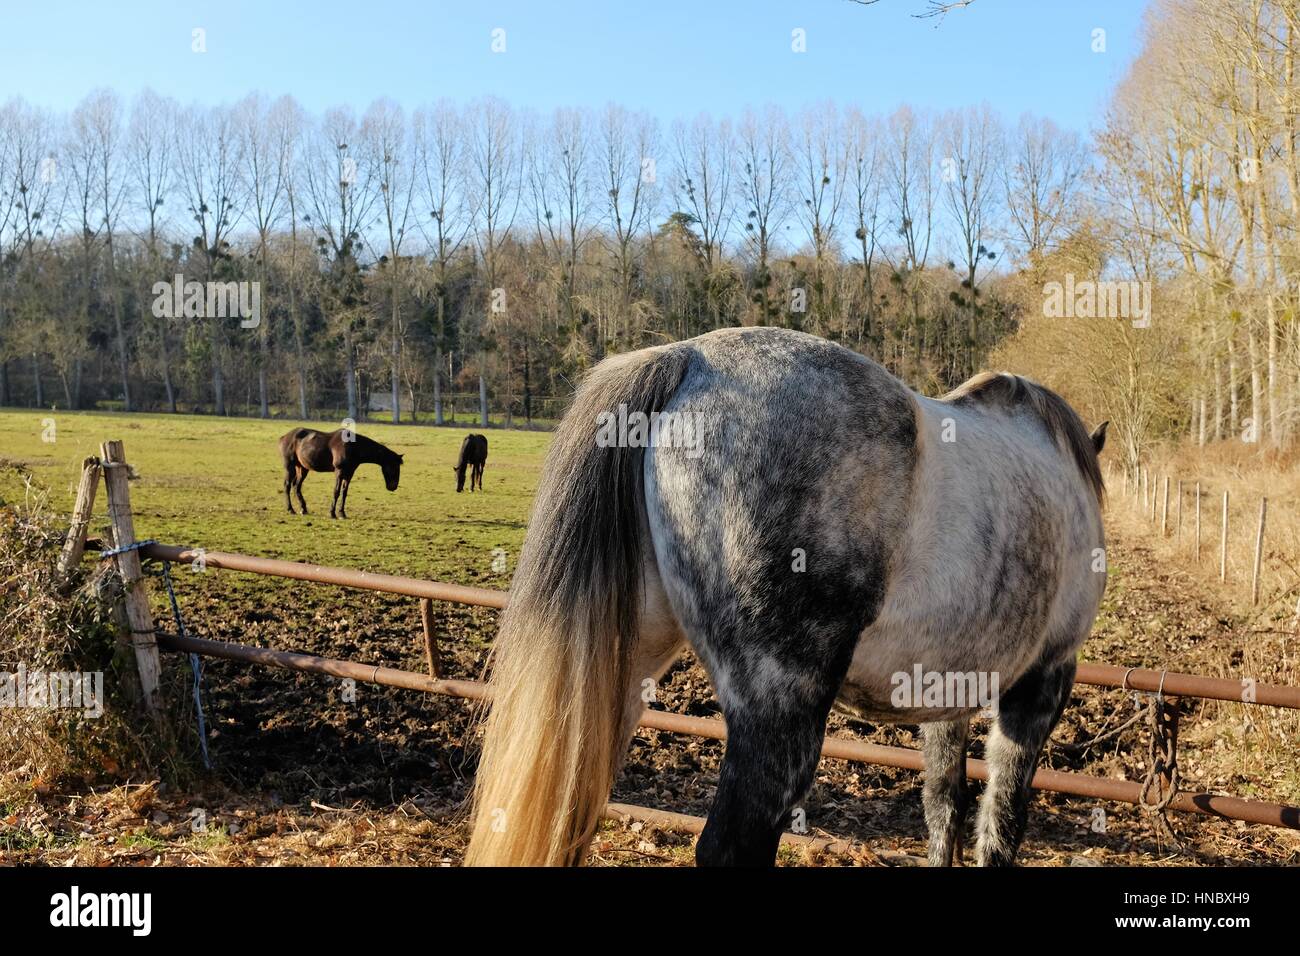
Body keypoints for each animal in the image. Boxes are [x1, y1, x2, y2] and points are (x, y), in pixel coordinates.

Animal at [467, 327, 1107, 868]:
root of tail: (688, 358)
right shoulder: (1044, 682)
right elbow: (1001, 824)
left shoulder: (949, 693)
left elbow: (943, 809)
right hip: (780, 712)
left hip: (618, 680)